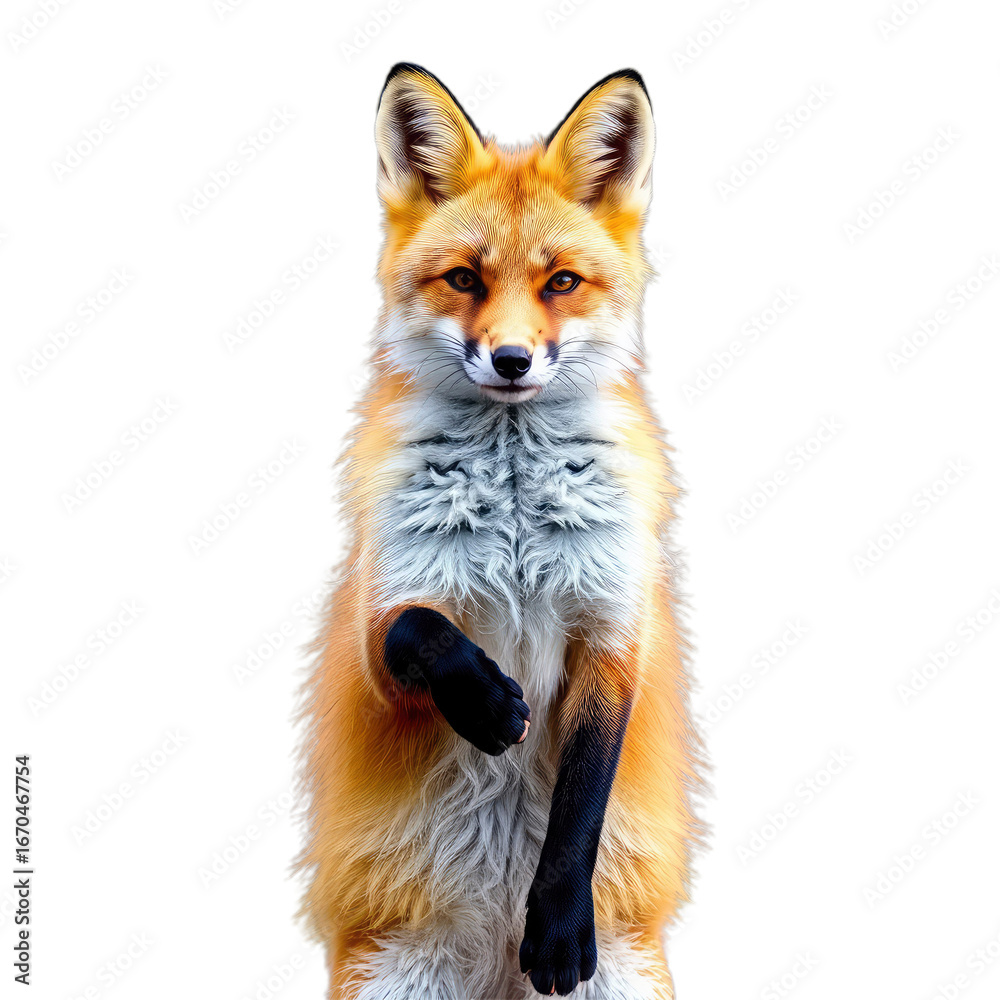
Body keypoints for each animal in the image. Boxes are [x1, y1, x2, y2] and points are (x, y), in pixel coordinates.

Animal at [296, 64, 703, 999]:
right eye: (462, 279)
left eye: (560, 283)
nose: (512, 360)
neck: (517, 510)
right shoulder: (382, 621)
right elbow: (417, 630)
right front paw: (485, 703)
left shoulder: (612, 630)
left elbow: (584, 800)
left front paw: (554, 930)